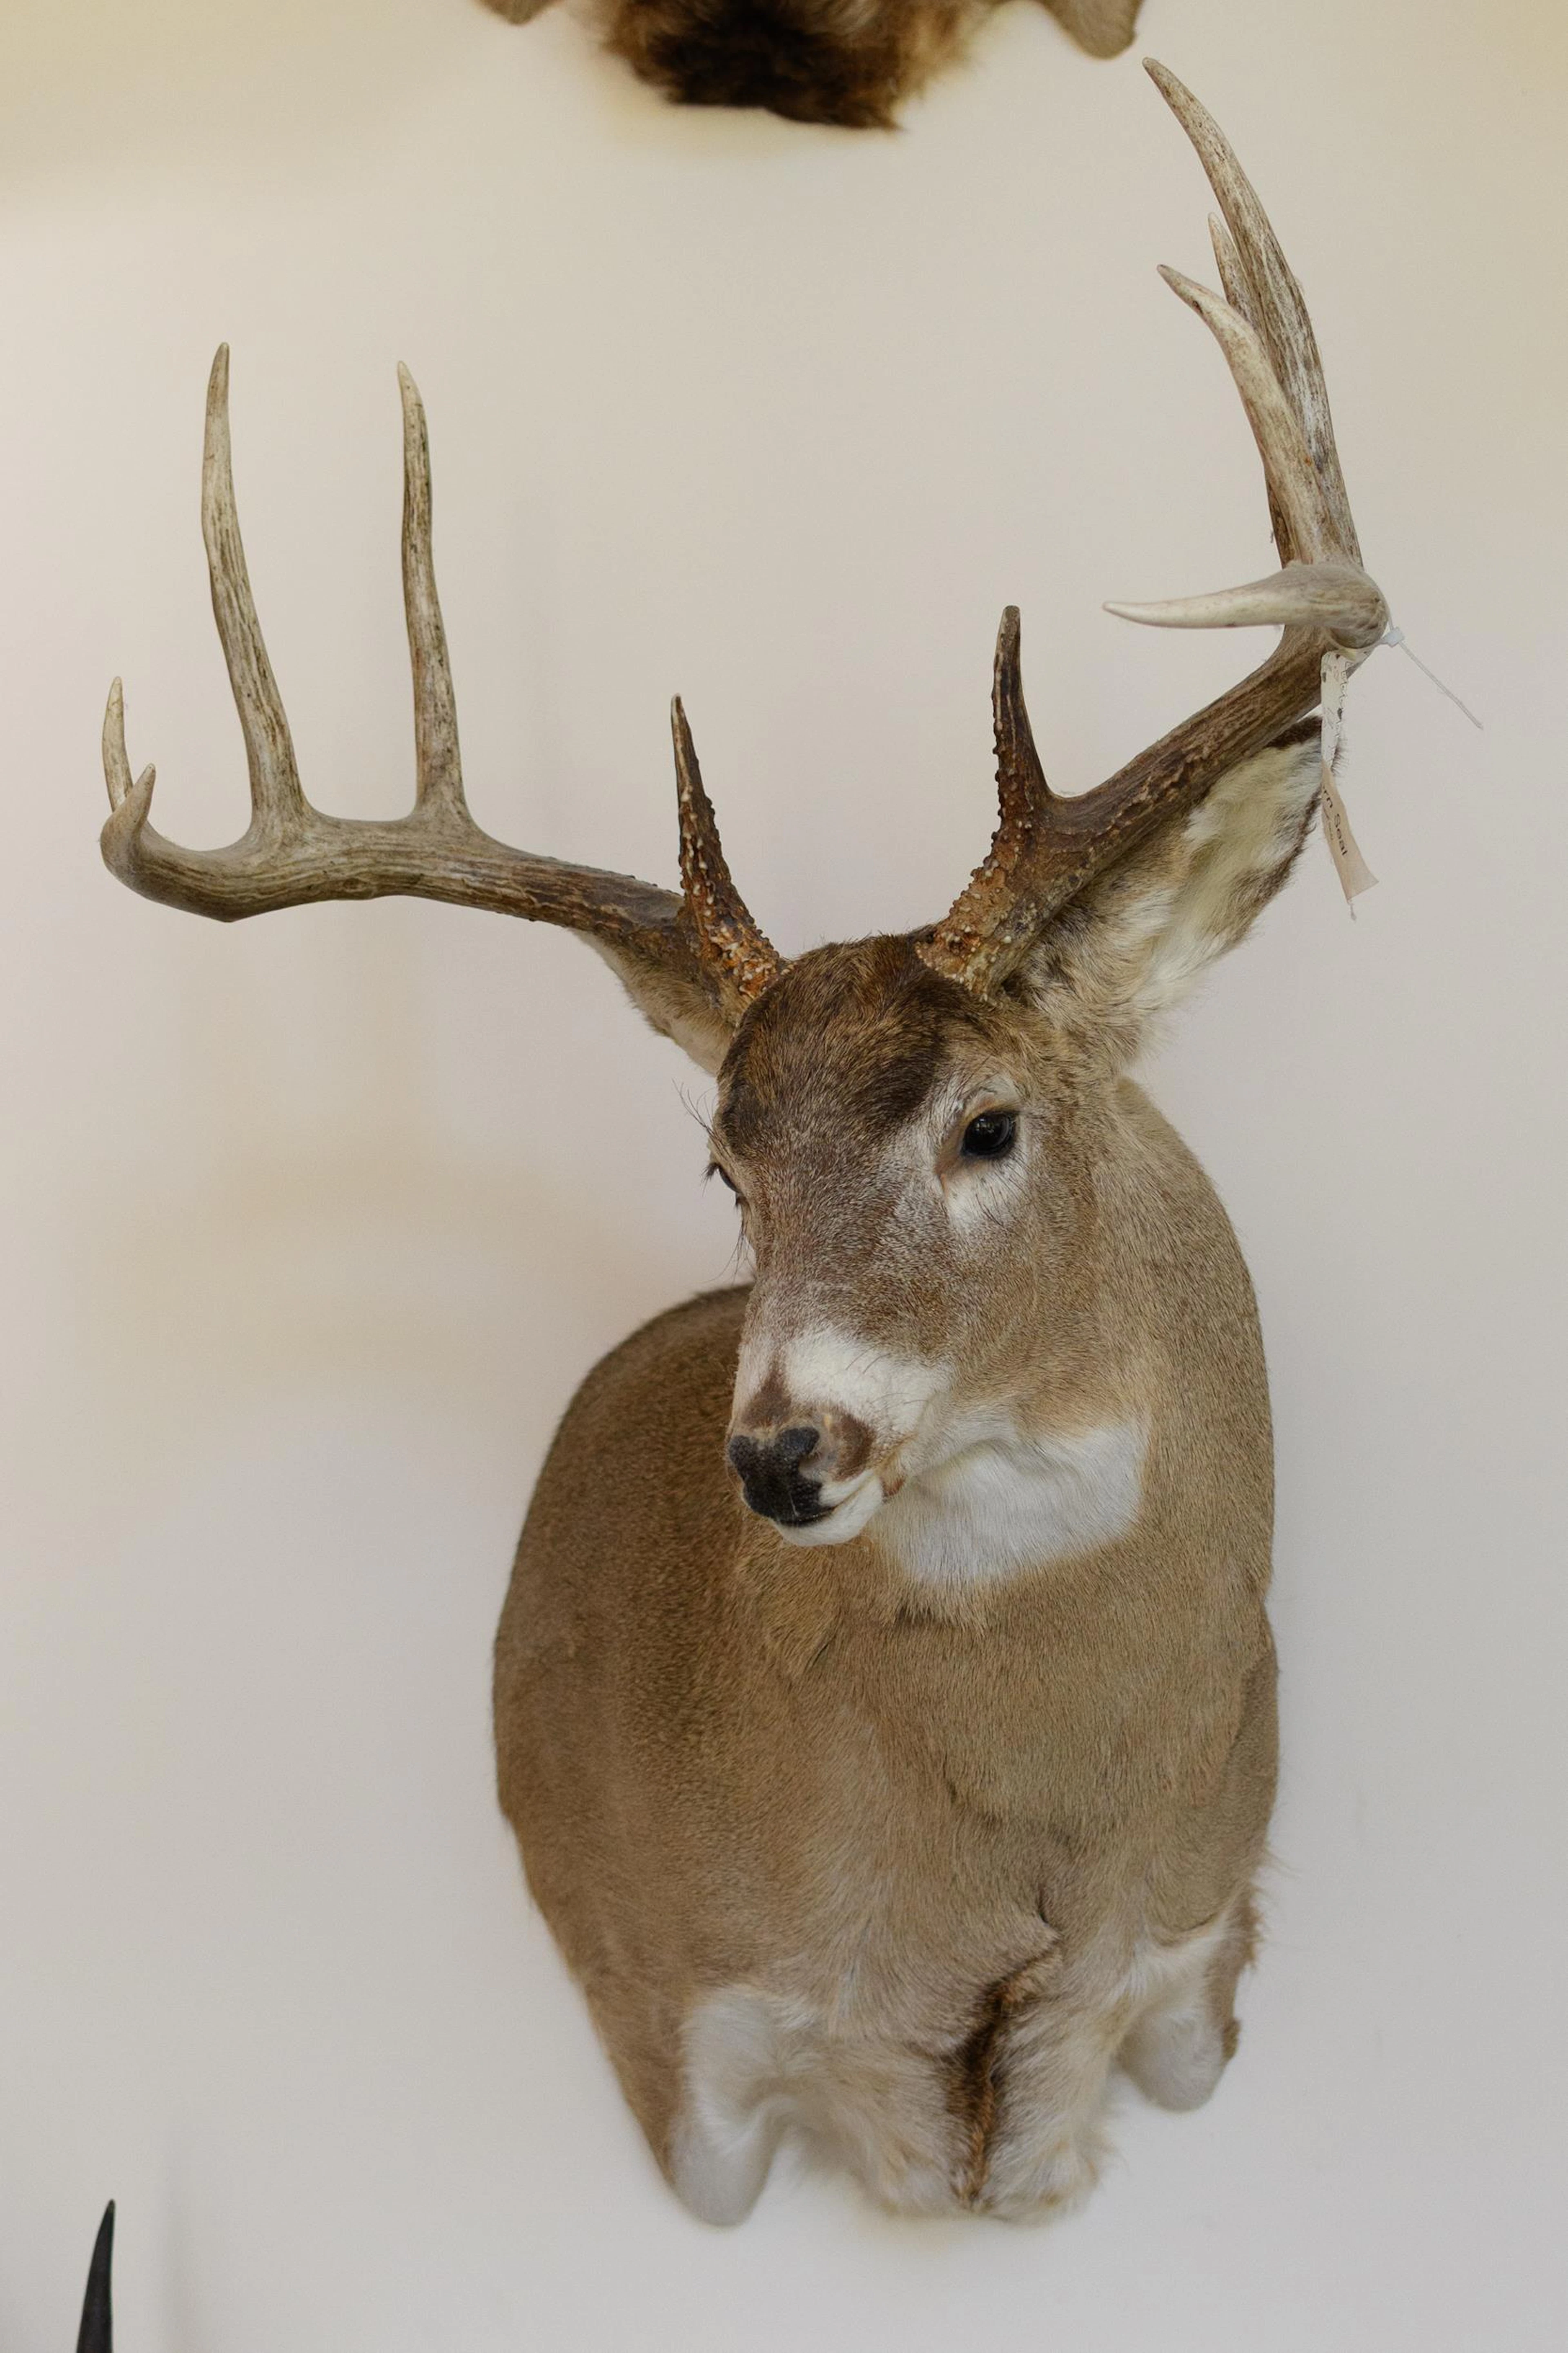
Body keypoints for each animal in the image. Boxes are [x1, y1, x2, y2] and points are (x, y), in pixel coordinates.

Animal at [100, 64, 1389, 2223]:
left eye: (988, 1120)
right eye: (728, 1163)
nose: (781, 1451)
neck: (1023, 1867)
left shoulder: (1202, 1969)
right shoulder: (688, 2050)